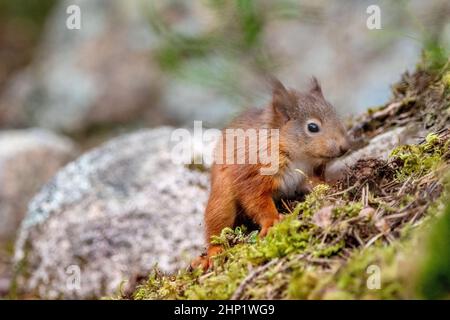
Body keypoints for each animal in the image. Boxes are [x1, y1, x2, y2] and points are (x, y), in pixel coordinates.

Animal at [192, 77, 350, 270]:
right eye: (312, 127)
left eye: (336, 115)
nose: (344, 147)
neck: (299, 156)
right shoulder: (253, 174)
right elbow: (257, 200)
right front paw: (272, 221)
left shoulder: (306, 174)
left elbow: (315, 183)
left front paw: (331, 186)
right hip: (221, 199)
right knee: (217, 225)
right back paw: (213, 252)